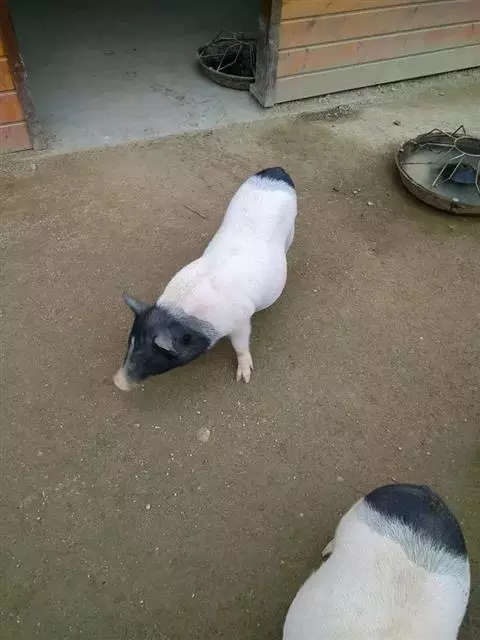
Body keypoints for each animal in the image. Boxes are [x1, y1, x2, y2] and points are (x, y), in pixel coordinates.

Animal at [113, 167, 297, 391]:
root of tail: (277, 170)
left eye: (149, 356)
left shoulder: (241, 319)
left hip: (292, 226)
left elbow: (240, 345)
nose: (117, 382)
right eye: (129, 344)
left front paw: (243, 378)